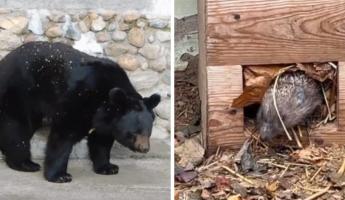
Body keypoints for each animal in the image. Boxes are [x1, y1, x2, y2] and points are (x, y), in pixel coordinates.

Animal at [0, 41, 160, 182]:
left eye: (148, 132)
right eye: (133, 133)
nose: (144, 148)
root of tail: (5, 59)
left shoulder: (107, 120)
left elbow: (101, 139)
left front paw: (108, 167)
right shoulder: (80, 98)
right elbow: (64, 134)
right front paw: (60, 176)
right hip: (21, 92)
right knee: (17, 128)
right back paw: (25, 164)